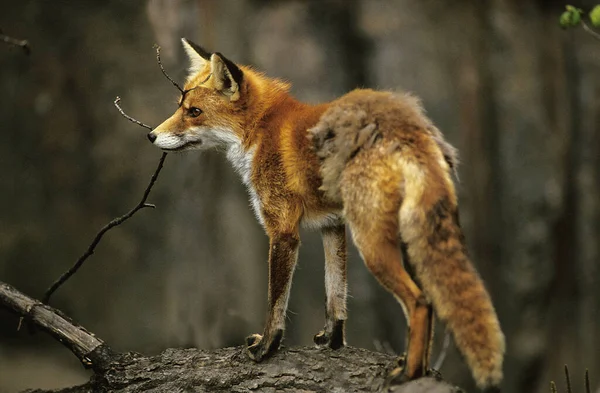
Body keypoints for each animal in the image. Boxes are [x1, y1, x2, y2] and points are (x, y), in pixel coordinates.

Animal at [148, 37, 504, 388]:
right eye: (180, 107)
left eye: (194, 112)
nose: (151, 135)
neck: (261, 131)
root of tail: (407, 126)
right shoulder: (332, 226)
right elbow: (335, 293)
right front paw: (332, 341)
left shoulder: (283, 231)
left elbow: (276, 301)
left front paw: (267, 347)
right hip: (412, 238)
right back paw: (420, 367)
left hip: (372, 243)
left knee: (420, 301)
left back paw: (410, 374)